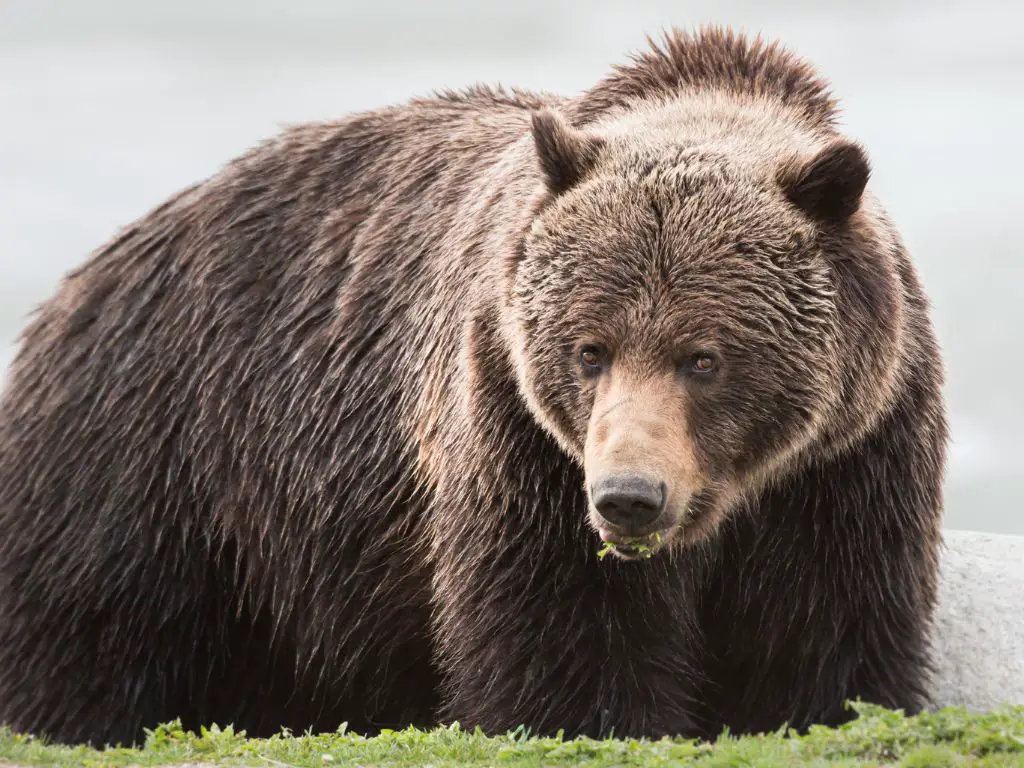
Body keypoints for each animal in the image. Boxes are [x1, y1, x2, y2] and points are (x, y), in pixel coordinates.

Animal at [0, 27, 942, 749]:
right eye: (590, 349)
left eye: (703, 357)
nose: (628, 497)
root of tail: (80, 282)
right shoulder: (515, 425)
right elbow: (559, 625)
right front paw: (596, 718)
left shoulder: (851, 454)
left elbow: (826, 629)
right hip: (159, 463)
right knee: (93, 634)